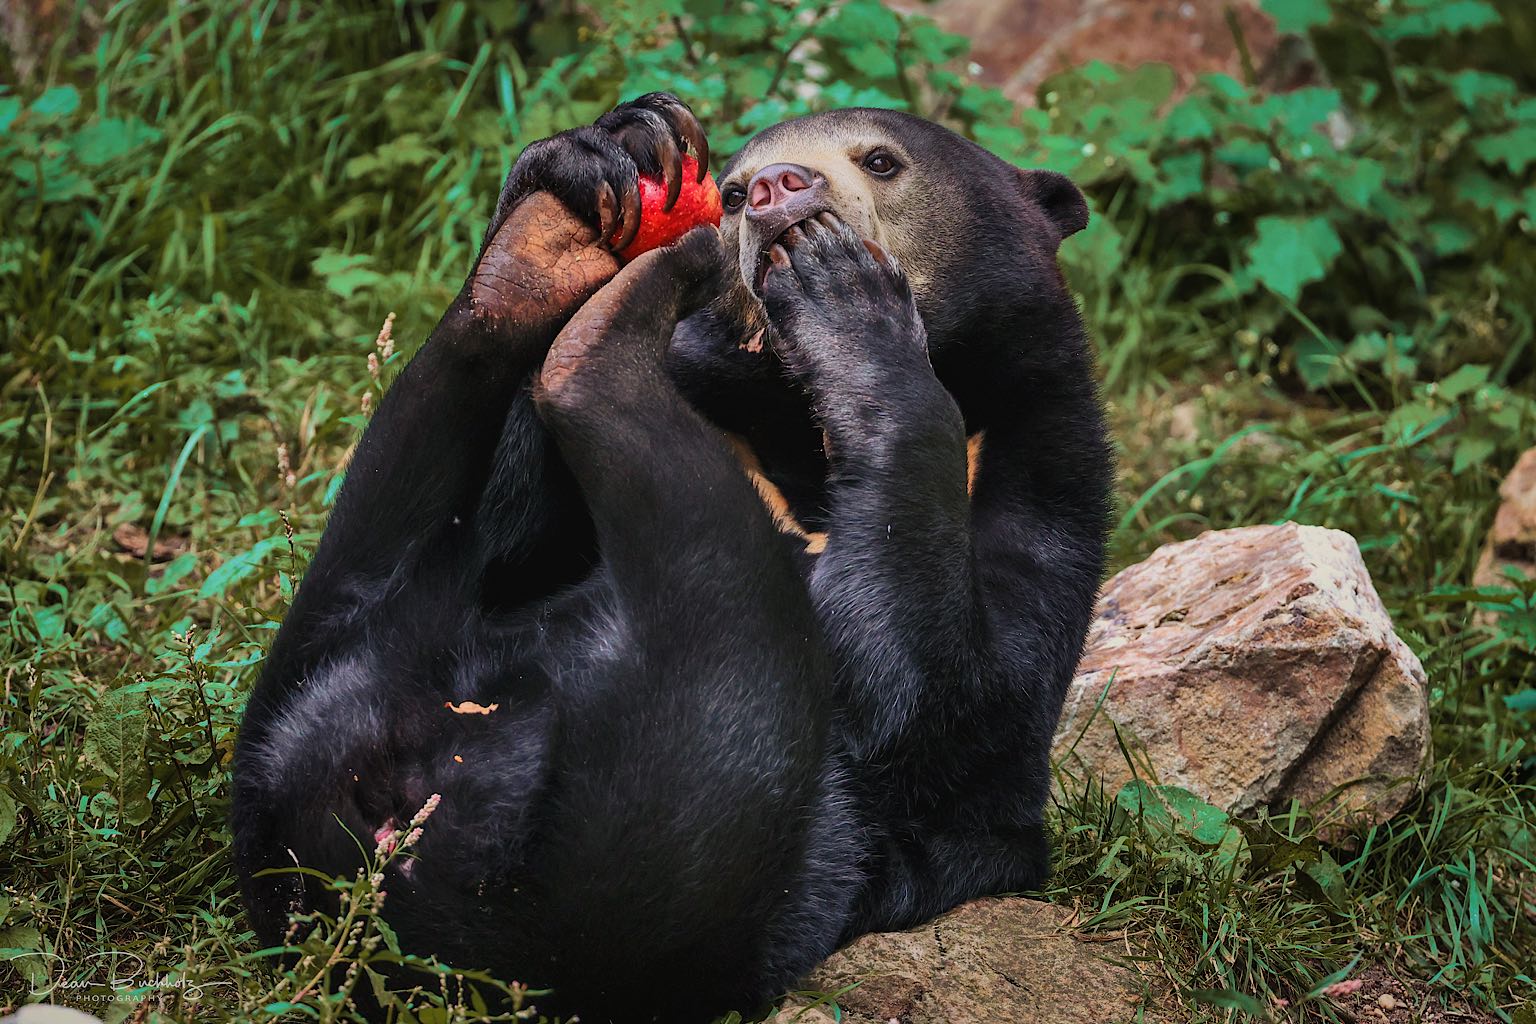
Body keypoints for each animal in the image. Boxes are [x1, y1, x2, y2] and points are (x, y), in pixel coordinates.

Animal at [230, 92, 1118, 1019]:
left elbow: (925, 688)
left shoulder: (1042, 495)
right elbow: (518, 546)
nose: (770, 191)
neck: (791, 433)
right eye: (728, 190)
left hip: (653, 855)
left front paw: (842, 291)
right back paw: (545, 252)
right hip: (330, 676)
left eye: (881, 161)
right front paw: (610, 149)